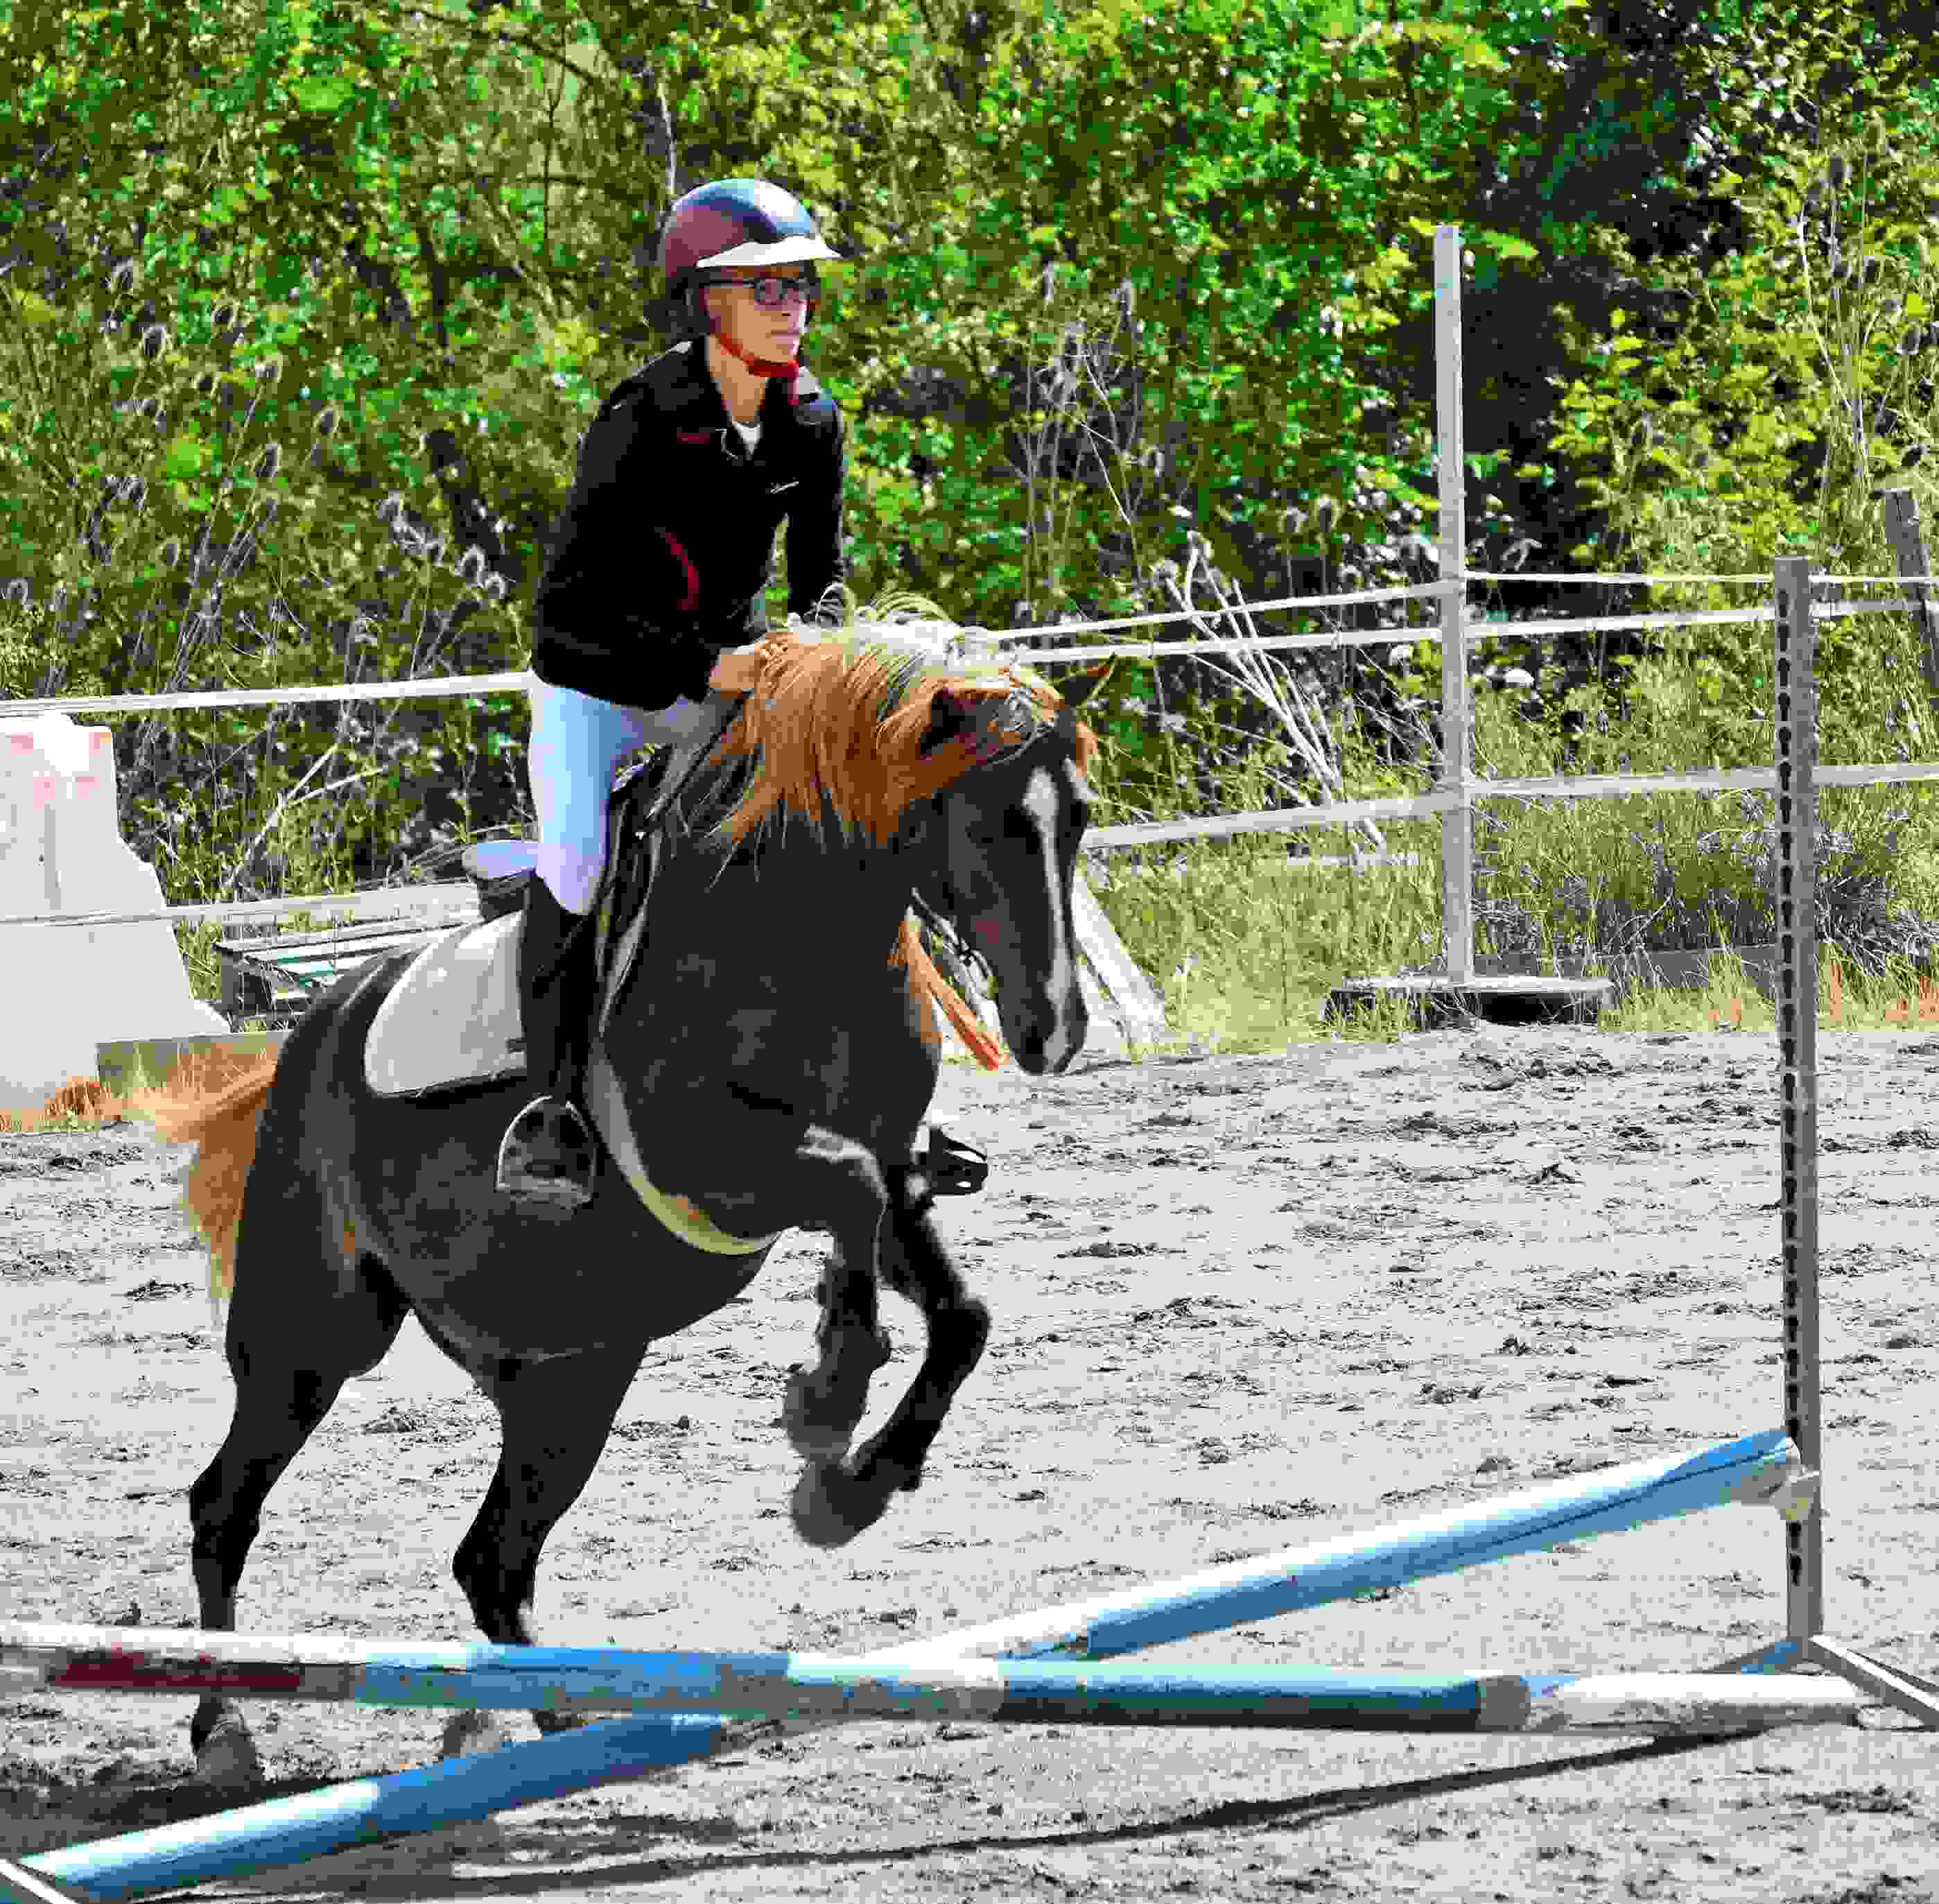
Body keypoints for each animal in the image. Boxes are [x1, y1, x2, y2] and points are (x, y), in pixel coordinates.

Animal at [149, 628, 1108, 1791]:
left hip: (573, 1374)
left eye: (1079, 816)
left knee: (491, 1558)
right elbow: (847, 1188)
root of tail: (312, 1033)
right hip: (312, 1341)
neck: (804, 927)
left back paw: (562, 1723)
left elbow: (953, 1306)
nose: (1055, 1028)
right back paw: (225, 1730)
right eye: (993, 818)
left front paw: (853, 1484)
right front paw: (827, 1401)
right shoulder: (712, 1165)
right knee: (225, 1509)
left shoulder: (891, 1163)